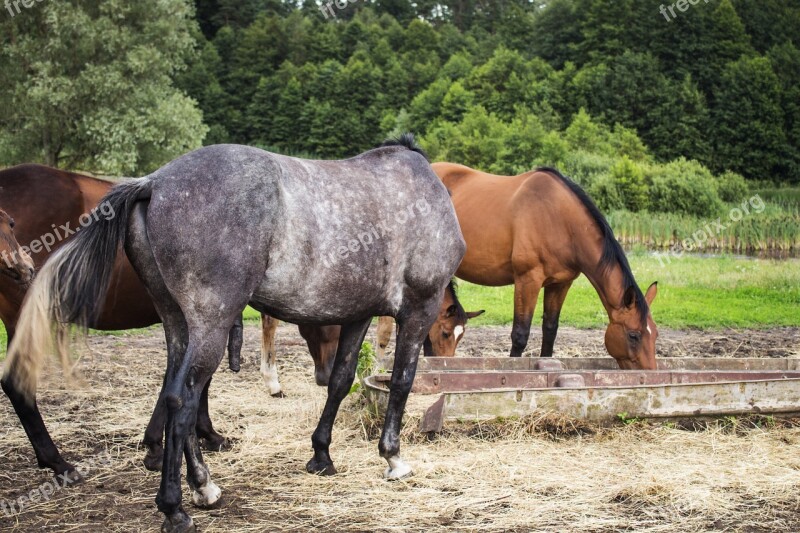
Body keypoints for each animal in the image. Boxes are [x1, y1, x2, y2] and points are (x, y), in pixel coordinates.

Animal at [434, 163, 660, 370]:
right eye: (633, 335)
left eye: (655, 333)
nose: (650, 374)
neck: (559, 220)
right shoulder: (528, 281)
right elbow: (520, 334)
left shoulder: (560, 284)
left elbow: (550, 330)